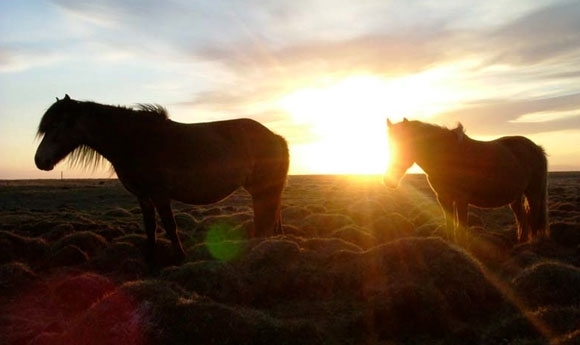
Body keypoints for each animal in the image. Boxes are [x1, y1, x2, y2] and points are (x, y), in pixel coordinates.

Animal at [35, 94, 288, 264]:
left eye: (58, 125)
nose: (40, 161)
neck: (136, 141)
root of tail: (276, 137)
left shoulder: (160, 194)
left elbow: (170, 226)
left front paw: (180, 257)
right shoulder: (143, 196)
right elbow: (150, 227)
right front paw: (150, 258)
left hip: (263, 192)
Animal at [386, 118, 548, 242]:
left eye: (406, 146)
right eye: (389, 146)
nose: (389, 180)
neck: (447, 156)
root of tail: (536, 148)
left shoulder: (461, 200)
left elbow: (461, 228)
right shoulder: (444, 199)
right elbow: (449, 226)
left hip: (533, 194)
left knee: (532, 217)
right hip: (515, 198)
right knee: (522, 219)